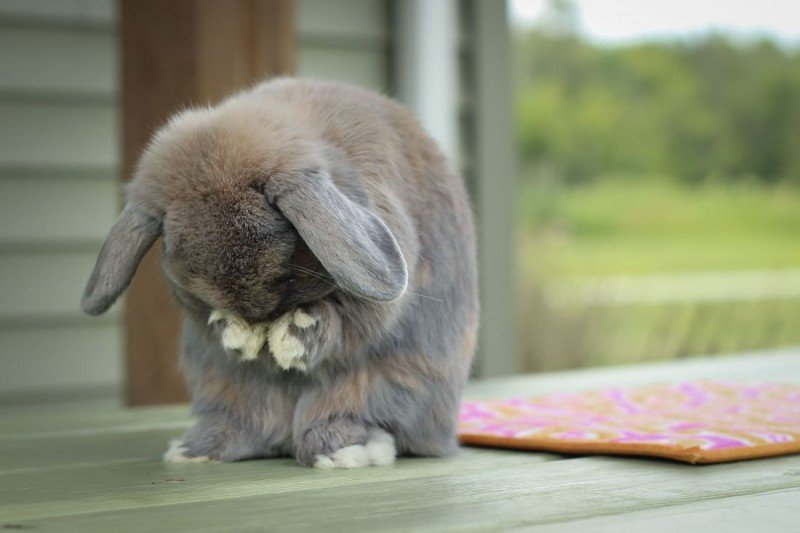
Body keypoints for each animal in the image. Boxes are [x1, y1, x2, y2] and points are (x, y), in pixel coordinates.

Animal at [81, 77, 478, 468]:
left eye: (285, 274)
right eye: (197, 287)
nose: (257, 319)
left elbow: (347, 319)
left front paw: (291, 338)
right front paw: (238, 336)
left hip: (388, 386)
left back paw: (345, 450)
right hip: (223, 388)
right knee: (251, 425)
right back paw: (198, 449)